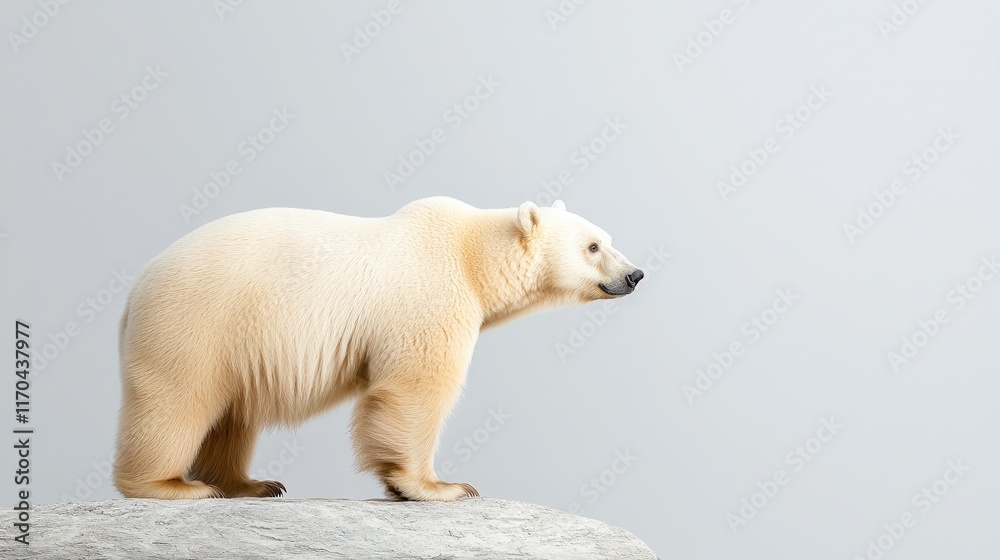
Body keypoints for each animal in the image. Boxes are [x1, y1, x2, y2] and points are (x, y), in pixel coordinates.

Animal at [113, 197, 643, 501]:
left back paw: (251, 484)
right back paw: (171, 486)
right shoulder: (429, 295)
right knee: (177, 400)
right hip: (198, 321)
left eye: (607, 238)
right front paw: (440, 486)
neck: (470, 254)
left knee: (232, 414)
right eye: (593, 246)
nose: (635, 274)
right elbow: (416, 387)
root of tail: (134, 290)